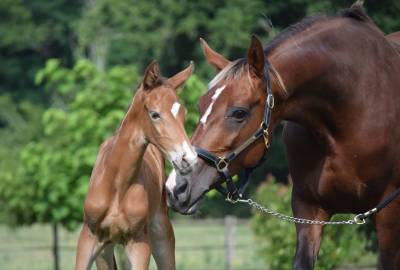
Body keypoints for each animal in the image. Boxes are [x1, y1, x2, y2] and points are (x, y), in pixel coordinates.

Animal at [75, 61, 195, 270]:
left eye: (183, 114)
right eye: (155, 114)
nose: (188, 158)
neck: (117, 184)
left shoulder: (139, 243)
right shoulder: (89, 237)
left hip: (162, 237)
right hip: (105, 249)